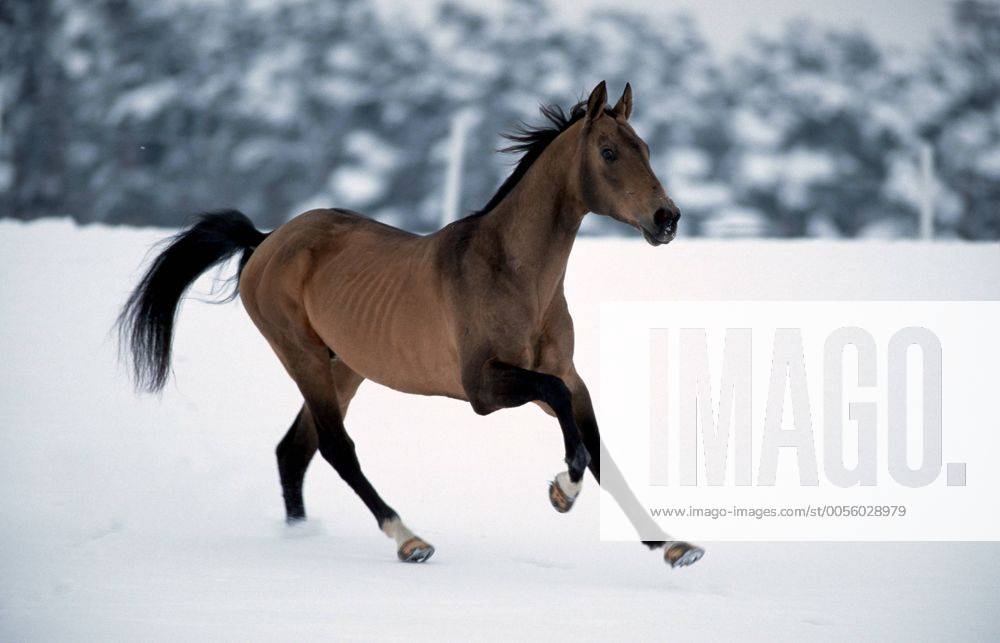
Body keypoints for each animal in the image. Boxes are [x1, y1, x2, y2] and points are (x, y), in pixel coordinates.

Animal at [119, 81, 704, 568]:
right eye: (608, 152)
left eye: (645, 148)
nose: (667, 219)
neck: (510, 273)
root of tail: (266, 241)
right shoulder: (485, 387)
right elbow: (572, 432)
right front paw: (562, 491)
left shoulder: (565, 374)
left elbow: (598, 448)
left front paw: (672, 546)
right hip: (302, 356)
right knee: (335, 448)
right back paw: (409, 539)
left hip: (345, 367)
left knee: (294, 450)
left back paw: (303, 537)